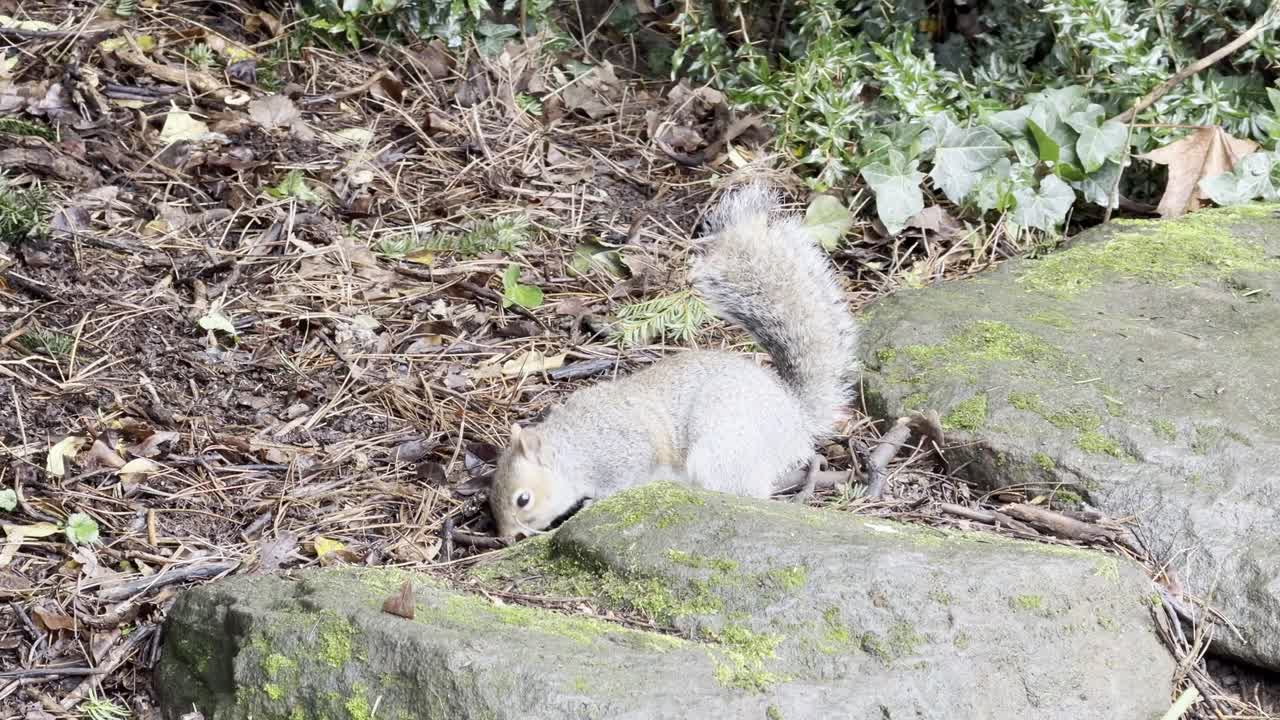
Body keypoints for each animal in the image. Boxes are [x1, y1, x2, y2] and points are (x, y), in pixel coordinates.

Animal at [489, 183, 859, 539]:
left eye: (523, 499)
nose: (506, 537)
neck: (573, 449)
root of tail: (796, 418)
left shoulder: (625, 455)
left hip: (724, 447)